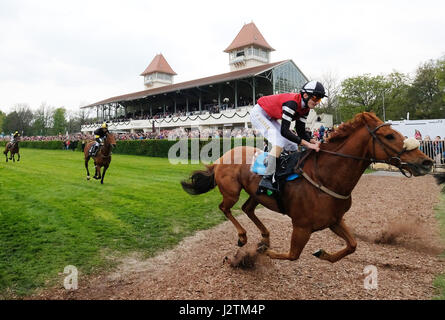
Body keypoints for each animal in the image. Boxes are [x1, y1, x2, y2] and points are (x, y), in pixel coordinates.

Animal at [180, 114, 434, 264]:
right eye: (390, 135)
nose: (426, 162)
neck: (327, 176)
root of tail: (220, 159)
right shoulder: (302, 226)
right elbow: (293, 255)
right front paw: (260, 253)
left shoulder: (334, 220)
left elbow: (352, 245)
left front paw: (325, 254)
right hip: (231, 191)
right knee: (225, 208)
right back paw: (244, 238)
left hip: (257, 194)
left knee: (247, 209)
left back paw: (265, 237)